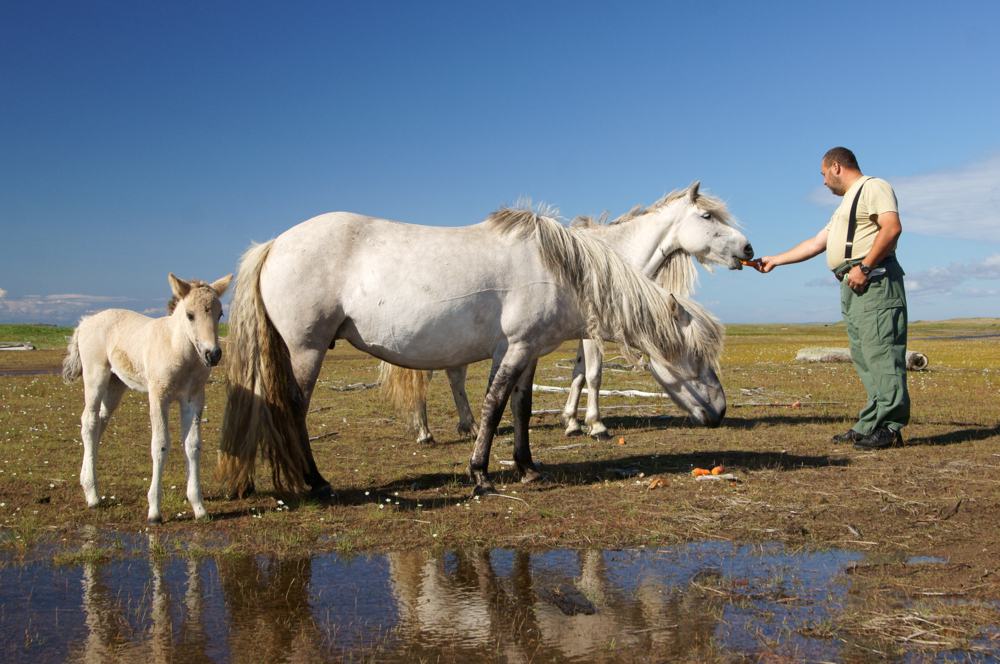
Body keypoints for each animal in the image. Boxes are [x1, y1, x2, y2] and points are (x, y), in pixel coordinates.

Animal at [62, 274, 232, 524]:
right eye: (190, 315)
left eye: (219, 314)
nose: (213, 354)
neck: (177, 349)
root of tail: (85, 322)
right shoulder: (158, 396)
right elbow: (160, 445)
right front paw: (154, 511)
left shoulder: (194, 398)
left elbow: (192, 446)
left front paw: (199, 508)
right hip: (95, 377)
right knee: (89, 421)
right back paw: (93, 497)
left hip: (116, 385)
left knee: (100, 423)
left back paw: (87, 484)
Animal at [217, 202, 728, 498]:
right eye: (698, 354)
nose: (721, 411)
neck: (557, 268)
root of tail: (274, 243)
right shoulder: (514, 349)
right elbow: (494, 405)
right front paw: (480, 473)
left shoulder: (529, 352)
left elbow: (520, 409)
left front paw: (526, 468)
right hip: (306, 350)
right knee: (292, 410)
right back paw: (314, 481)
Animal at [382, 180, 752, 440]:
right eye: (707, 216)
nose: (748, 248)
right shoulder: (593, 333)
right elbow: (594, 374)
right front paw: (596, 425)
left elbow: (577, 374)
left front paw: (572, 422)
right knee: (427, 376)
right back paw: (425, 431)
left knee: (453, 375)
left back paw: (467, 426)